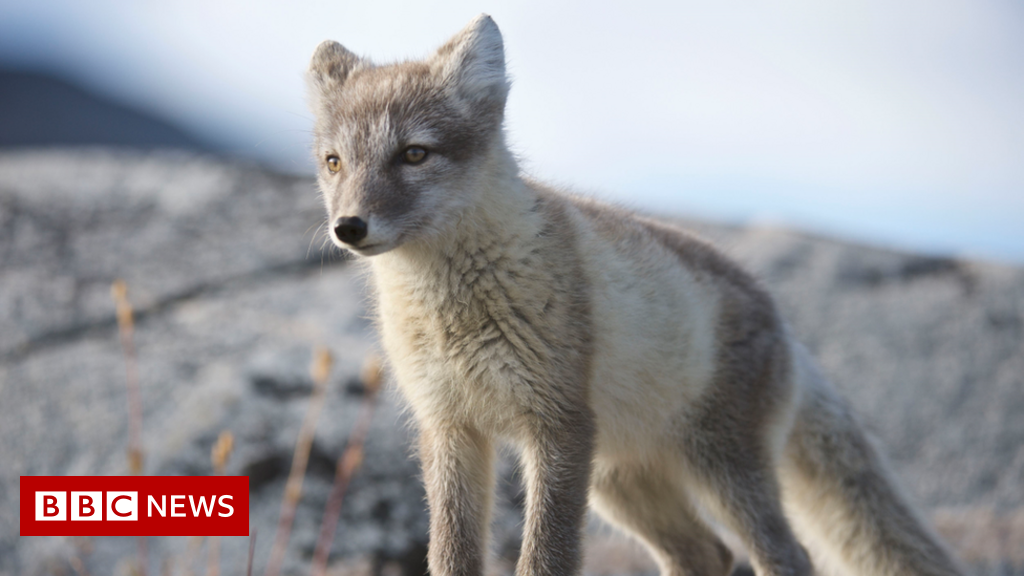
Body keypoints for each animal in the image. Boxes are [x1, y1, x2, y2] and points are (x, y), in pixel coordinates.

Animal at [305, 14, 965, 576]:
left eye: (414, 154)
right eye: (335, 162)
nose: (348, 228)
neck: (452, 309)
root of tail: (784, 324)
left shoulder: (558, 426)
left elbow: (546, 557)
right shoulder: (451, 429)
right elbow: (450, 554)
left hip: (722, 472)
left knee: (787, 556)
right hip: (619, 484)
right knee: (709, 555)